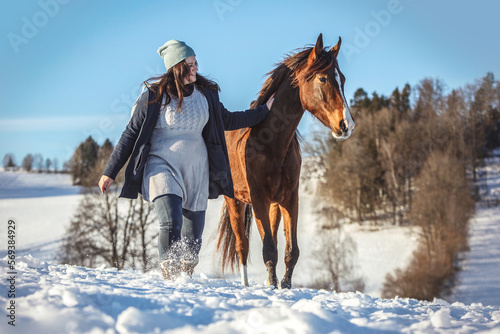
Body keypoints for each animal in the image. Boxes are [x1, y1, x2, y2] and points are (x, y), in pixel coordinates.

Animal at [217, 34, 354, 288]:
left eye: (342, 79)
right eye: (323, 78)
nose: (347, 125)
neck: (272, 143)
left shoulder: (289, 198)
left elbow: (291, 251)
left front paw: (284, 286)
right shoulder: (258, 198)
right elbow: (268, 248)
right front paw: (272, 285)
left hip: (273, 205)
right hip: (235, 201)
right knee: (242, 246)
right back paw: (246, 285)